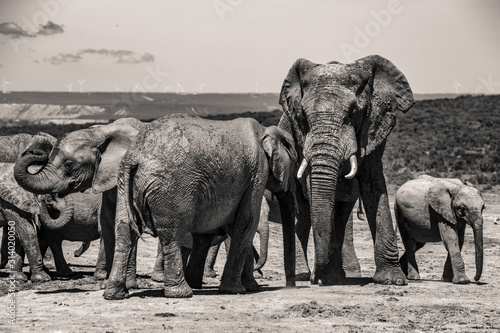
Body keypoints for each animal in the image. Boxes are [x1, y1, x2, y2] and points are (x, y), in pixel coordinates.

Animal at [103, 114, 294, 298]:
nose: (290, 286)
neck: (265, 130)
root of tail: (135, 156)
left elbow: (226, 229)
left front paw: (248, 287)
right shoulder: (257, 172)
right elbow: (246, 223)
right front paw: (236, 290)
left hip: (124, 182)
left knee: (124, 230)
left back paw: (114, 294)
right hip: (171, 187)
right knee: (172, 234)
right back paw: (181, 293)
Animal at [278, 54, 414, 286]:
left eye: (353, 113)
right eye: (303, 115)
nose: (316, 279)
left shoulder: (372, 130)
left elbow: (374, 187)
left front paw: (392, 280)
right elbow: (314, 192)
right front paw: (326, 278)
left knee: (339, 213)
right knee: (303, 214)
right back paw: (304, 275)